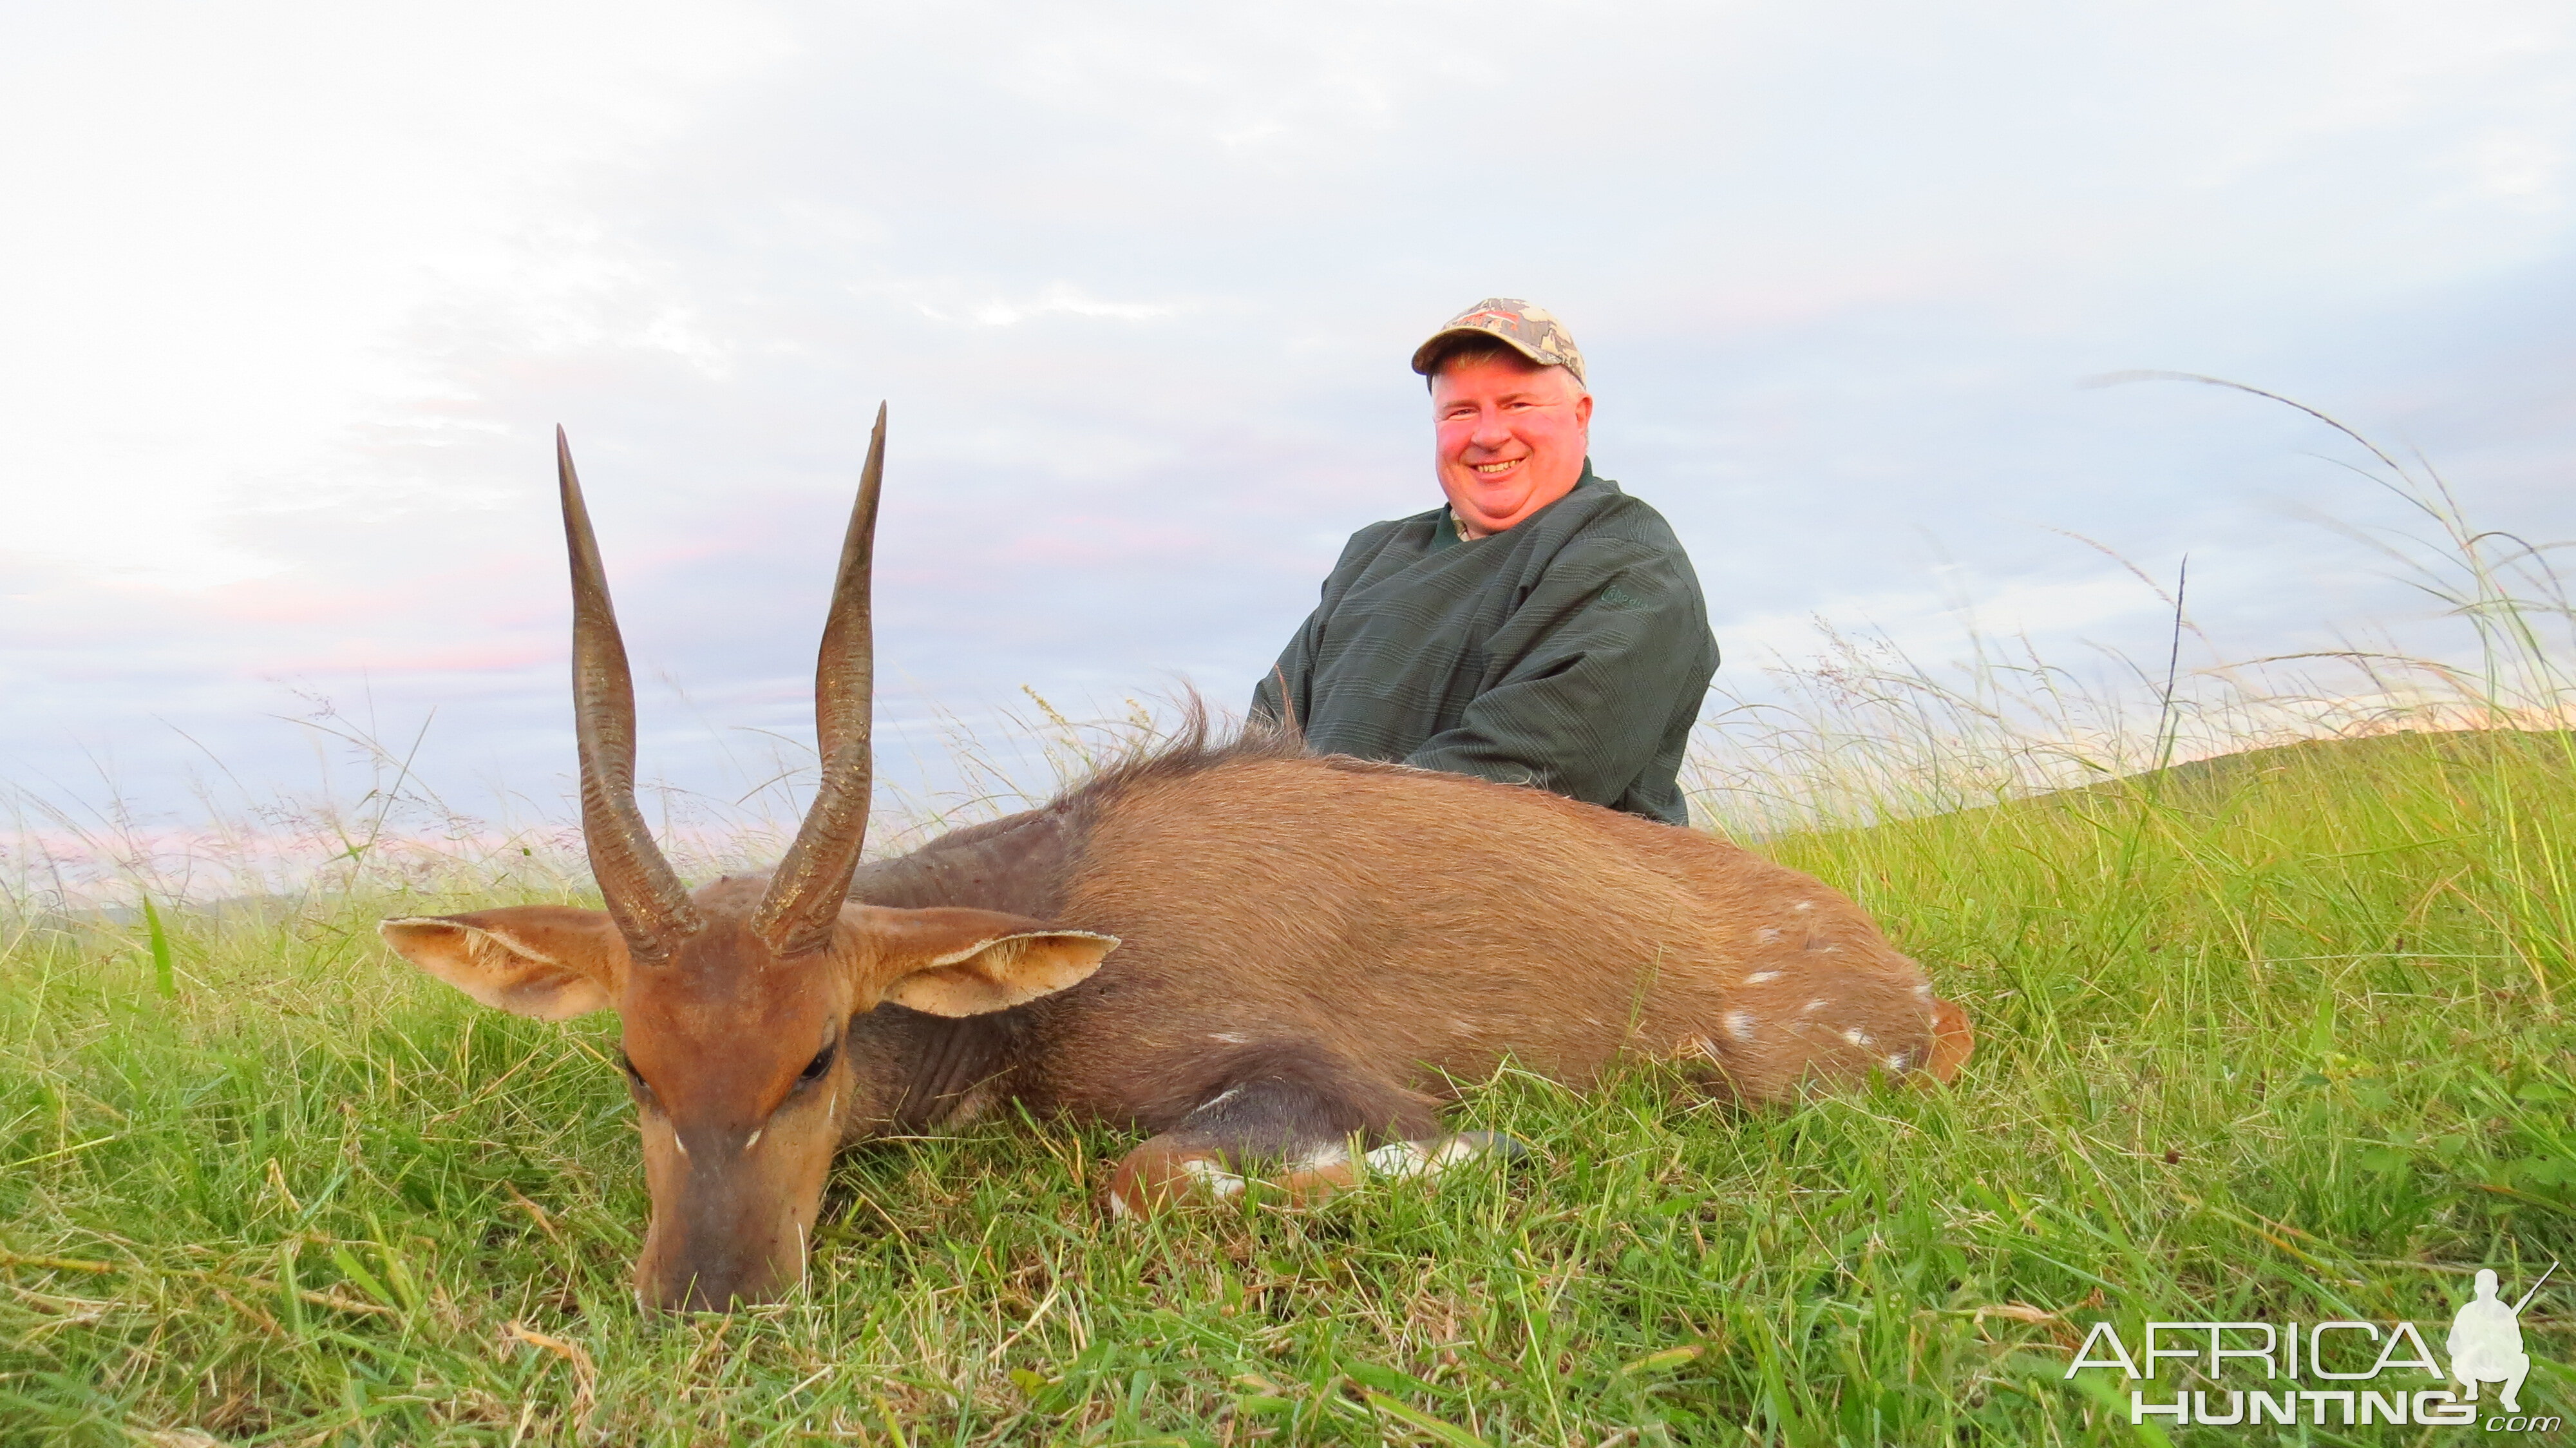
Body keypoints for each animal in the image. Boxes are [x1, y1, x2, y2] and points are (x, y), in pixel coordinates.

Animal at [374, 412, 1968, 1314]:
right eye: (633, 1062)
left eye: (817, 1053)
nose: (707, 1300)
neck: (1056, 944)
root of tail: (1912, 990)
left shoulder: (1297, 1075)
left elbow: (1142, 1177)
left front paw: (1491, 1148)